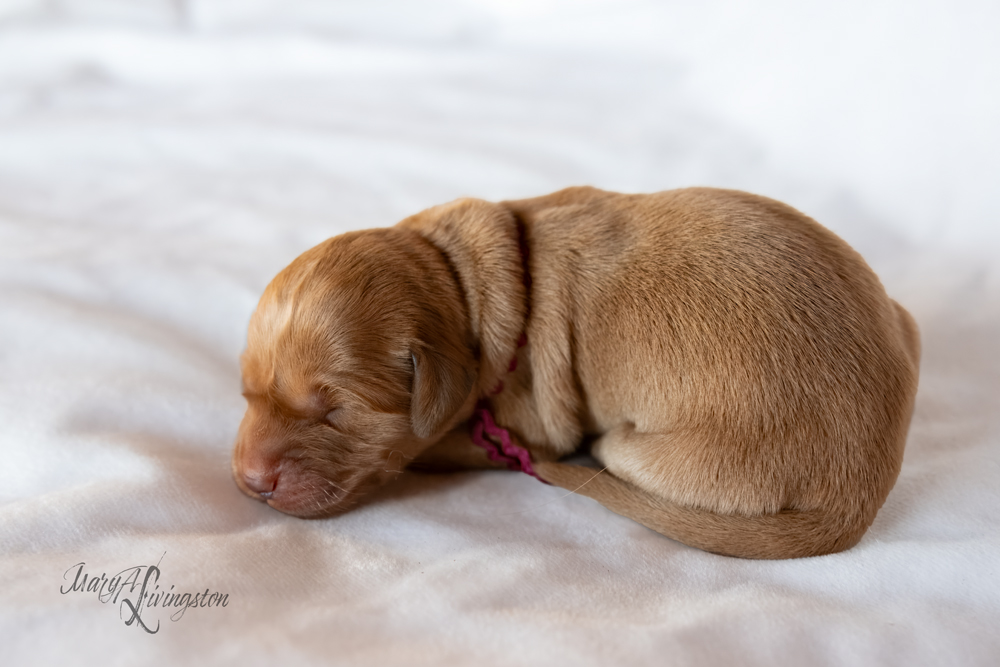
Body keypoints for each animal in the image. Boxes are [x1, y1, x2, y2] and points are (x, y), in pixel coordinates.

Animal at [234, 187, 920, 560]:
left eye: (336, 410)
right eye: (247, 392)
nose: (248, 481)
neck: (457, 280)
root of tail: (860, 493)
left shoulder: (529, 427)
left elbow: (430, 449)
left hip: (646, 448)